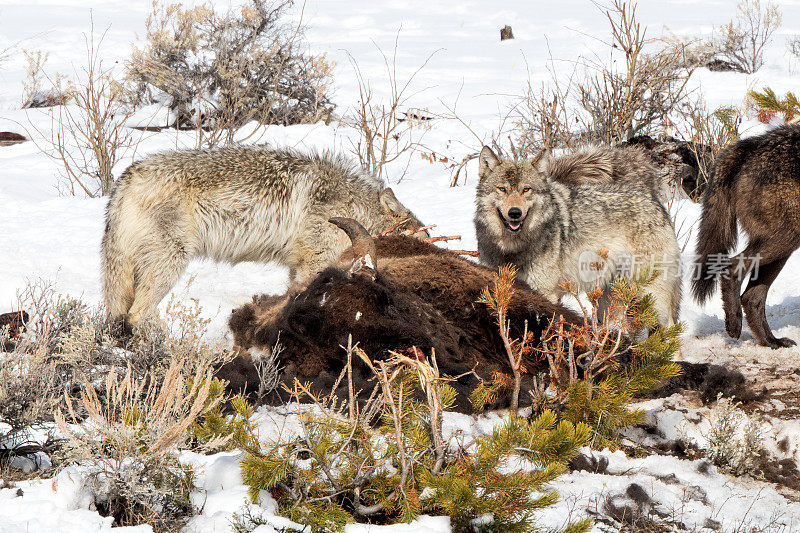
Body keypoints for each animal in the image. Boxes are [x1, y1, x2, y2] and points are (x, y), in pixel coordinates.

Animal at [101, 145, 424, 324]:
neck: (356, 209)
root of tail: (126, 179)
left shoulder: (298, 268)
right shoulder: (316, 262)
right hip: (169, 265)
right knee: (138, 314)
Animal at [476, 147, 680, 328]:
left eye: (526, 190)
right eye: (502, 189)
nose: (515, 213)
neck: (512, 248)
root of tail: (656, 203)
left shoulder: (545, 293)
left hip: (650, 295)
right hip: (609, 303)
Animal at [692, 124, 796, 350]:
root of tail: (748, 146)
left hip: (781, 250)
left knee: (751, 297)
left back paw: (771, 342)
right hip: (785, 240)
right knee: (732, 268)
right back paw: (734, 325)